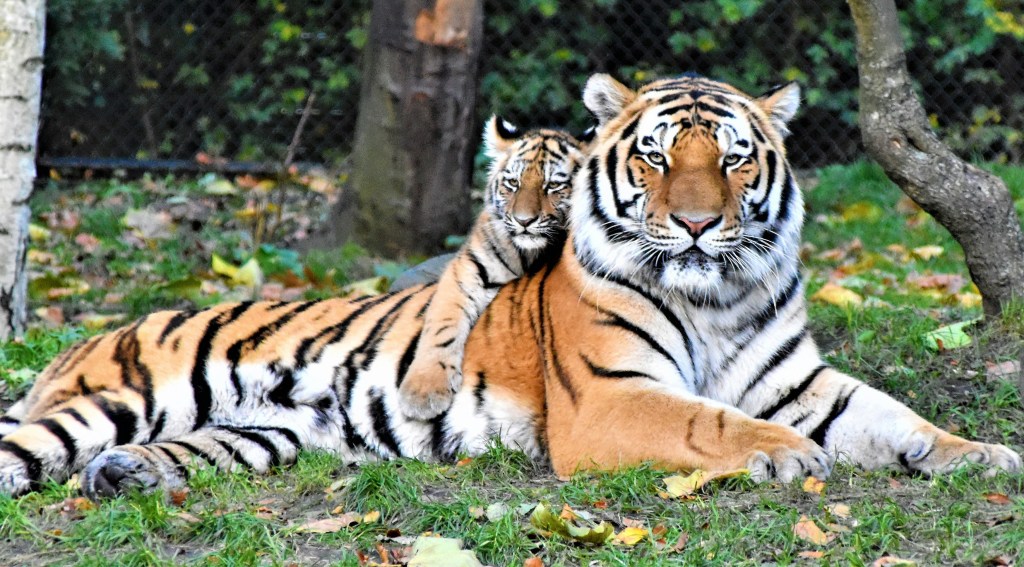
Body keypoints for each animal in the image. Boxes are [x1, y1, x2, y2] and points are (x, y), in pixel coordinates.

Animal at [0, 72, 1015, 497]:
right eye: (655, 158)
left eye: (730, 159)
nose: (694, 223)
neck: (717, 296)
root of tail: (83, 339)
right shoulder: (612, 398)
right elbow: (713, 422)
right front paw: (788, 454)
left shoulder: (802, 379)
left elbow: (896, 418)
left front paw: (983, 456)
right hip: (113, 400)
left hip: (266, 433)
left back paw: (123, 476)